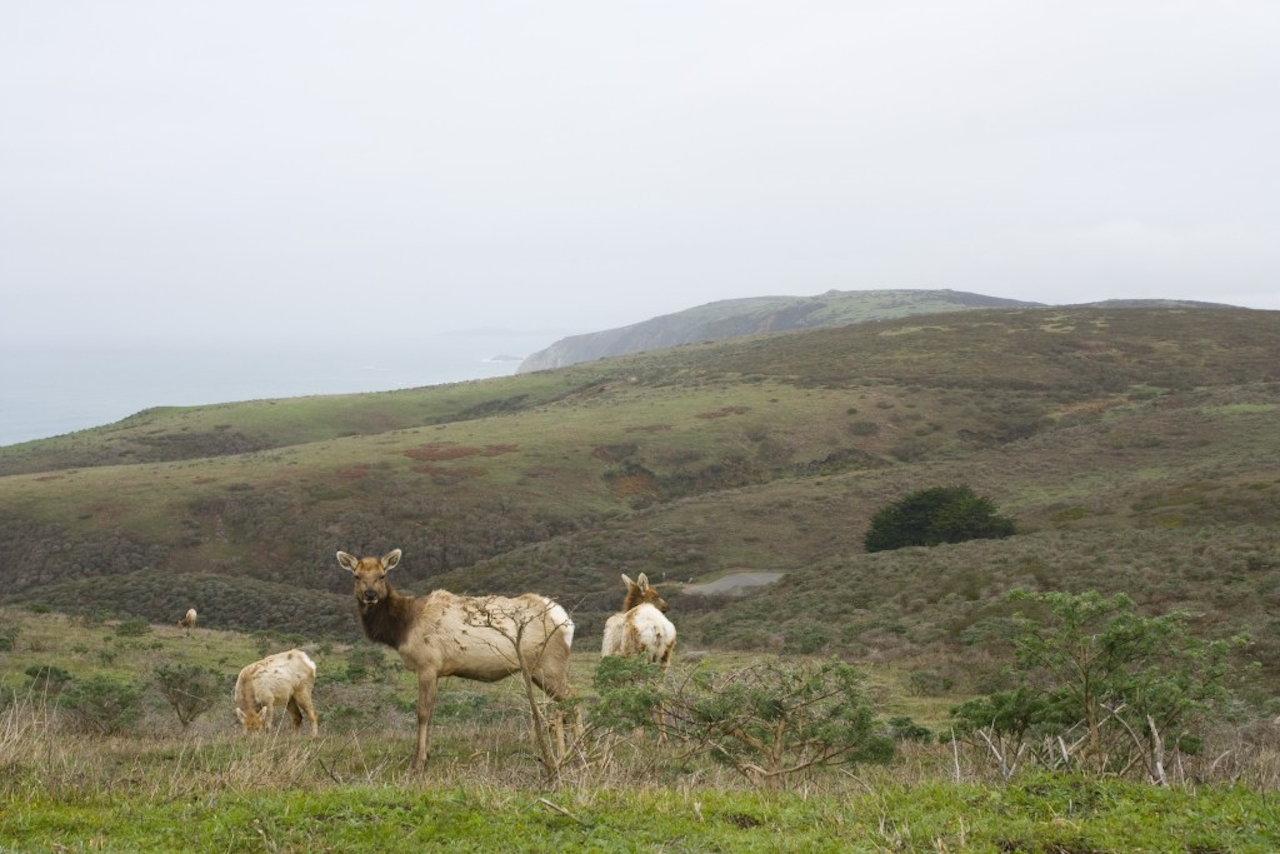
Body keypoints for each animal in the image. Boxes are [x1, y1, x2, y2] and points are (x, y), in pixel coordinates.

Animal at [340, 550, 581, 773]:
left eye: (382, 575)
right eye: (356, 576)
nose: (370, 594)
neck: (401, 629)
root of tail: (566, 622)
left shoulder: (427, 665)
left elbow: (422, 712)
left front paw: (417, 762)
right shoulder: (435, 670)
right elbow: (431, 711)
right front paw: (427, 755)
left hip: (549, 664)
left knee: (573, 699)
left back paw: (578, 752)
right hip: (538, 669)